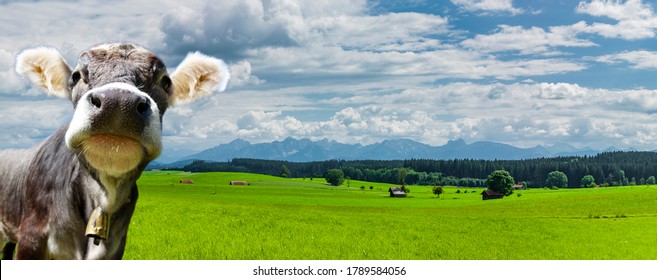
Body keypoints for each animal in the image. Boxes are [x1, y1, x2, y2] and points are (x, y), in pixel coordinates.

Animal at [0, 42, 231, 260]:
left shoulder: (116, 249)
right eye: (76, 76)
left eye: (165, 82)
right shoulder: (31, 238)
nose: (119, 102)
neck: (104, 198)